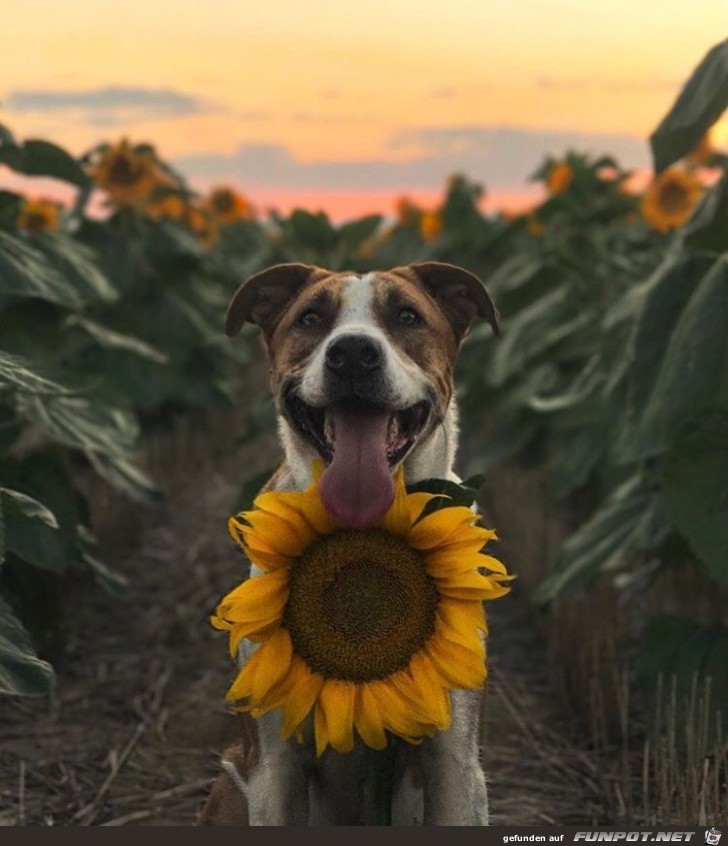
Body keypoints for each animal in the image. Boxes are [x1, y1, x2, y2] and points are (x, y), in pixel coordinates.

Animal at [196, 260, 498, 828]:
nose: (353, 352)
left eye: (407, 316)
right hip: (230, 785)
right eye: (311, 318)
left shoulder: (455, 764)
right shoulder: (274, 767)